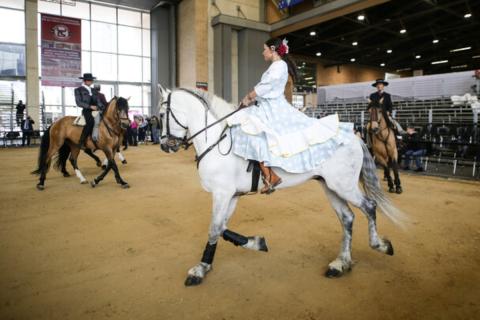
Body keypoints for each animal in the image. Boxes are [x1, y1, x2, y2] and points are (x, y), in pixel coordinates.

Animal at [158, 86, 404, 286]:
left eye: (161, 115)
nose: (164, 145)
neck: (218, 141)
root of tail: (354, 137)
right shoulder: (232, 195)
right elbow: (221, 228)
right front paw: (255, 243)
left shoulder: (222, 193)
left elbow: (214, 228)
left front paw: (199, 270)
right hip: (330, 187)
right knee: (347, 218)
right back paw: (340, 263)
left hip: (344, 186)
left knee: (369, 206)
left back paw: (380, 245)